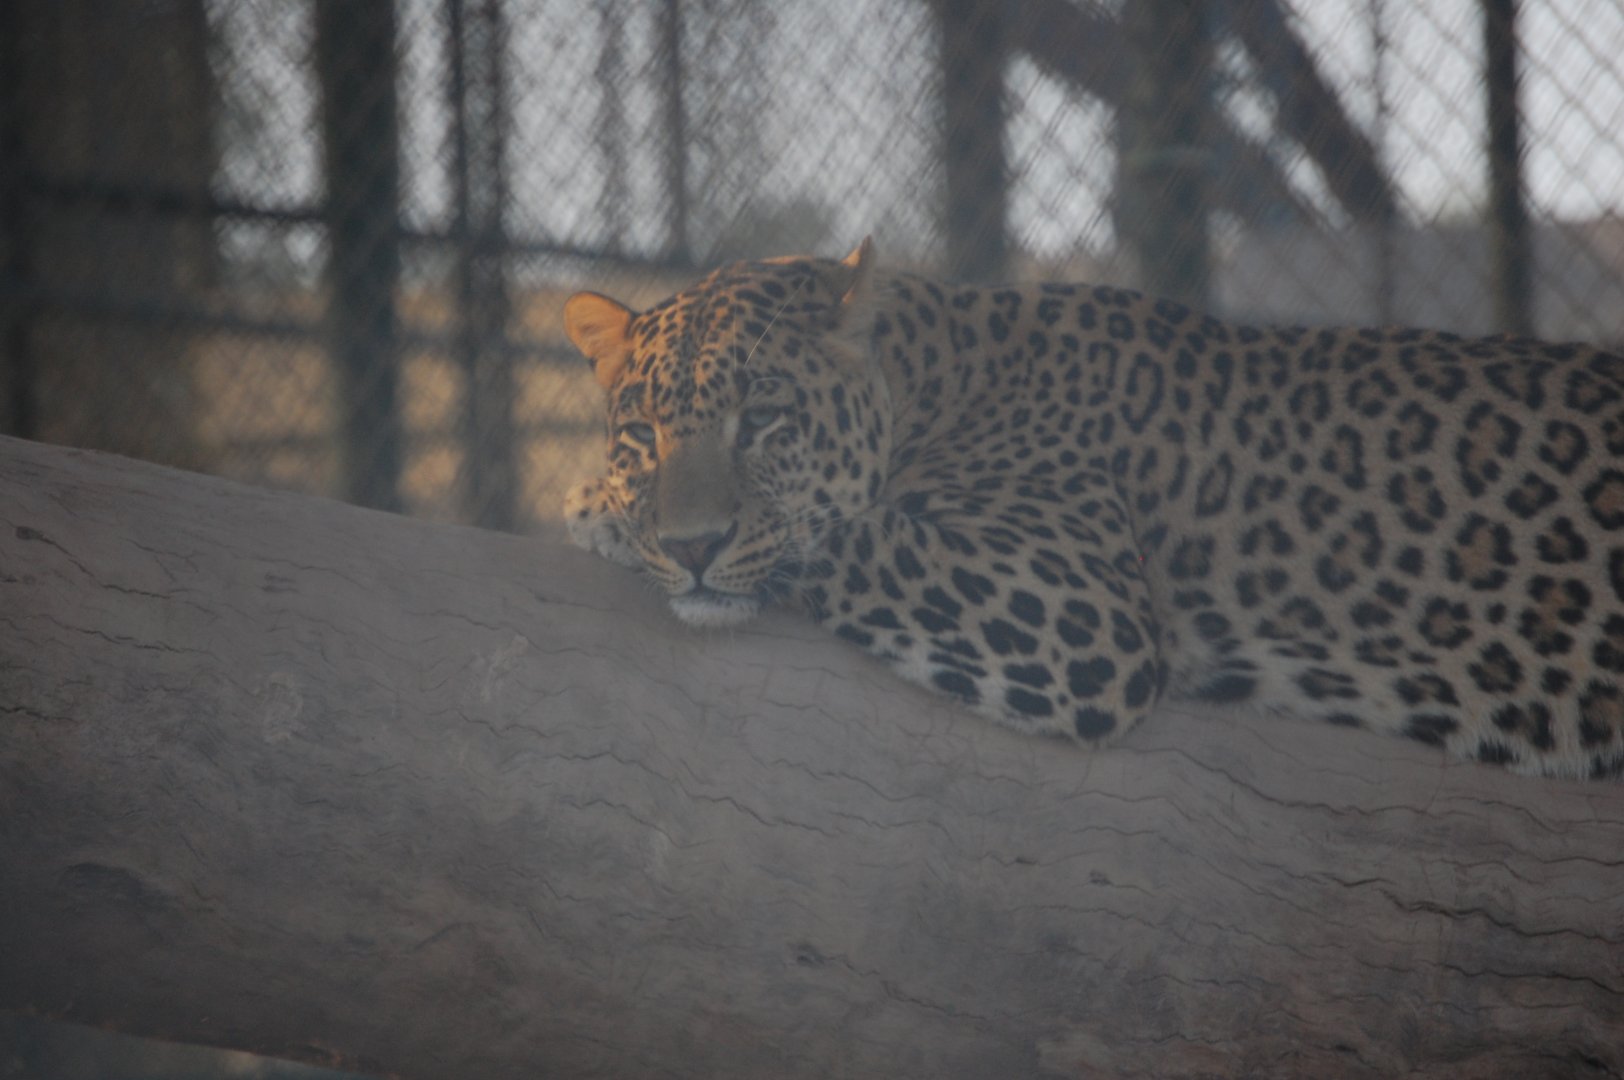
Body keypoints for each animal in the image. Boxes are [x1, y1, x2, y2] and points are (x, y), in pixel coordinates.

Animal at [562, 238, 1624, 779]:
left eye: (765, 418)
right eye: (642, 433)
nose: (692, 547)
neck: (940, 376)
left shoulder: (1076, 605)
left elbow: (843, 534)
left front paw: (595, 512)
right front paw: (615, 505)